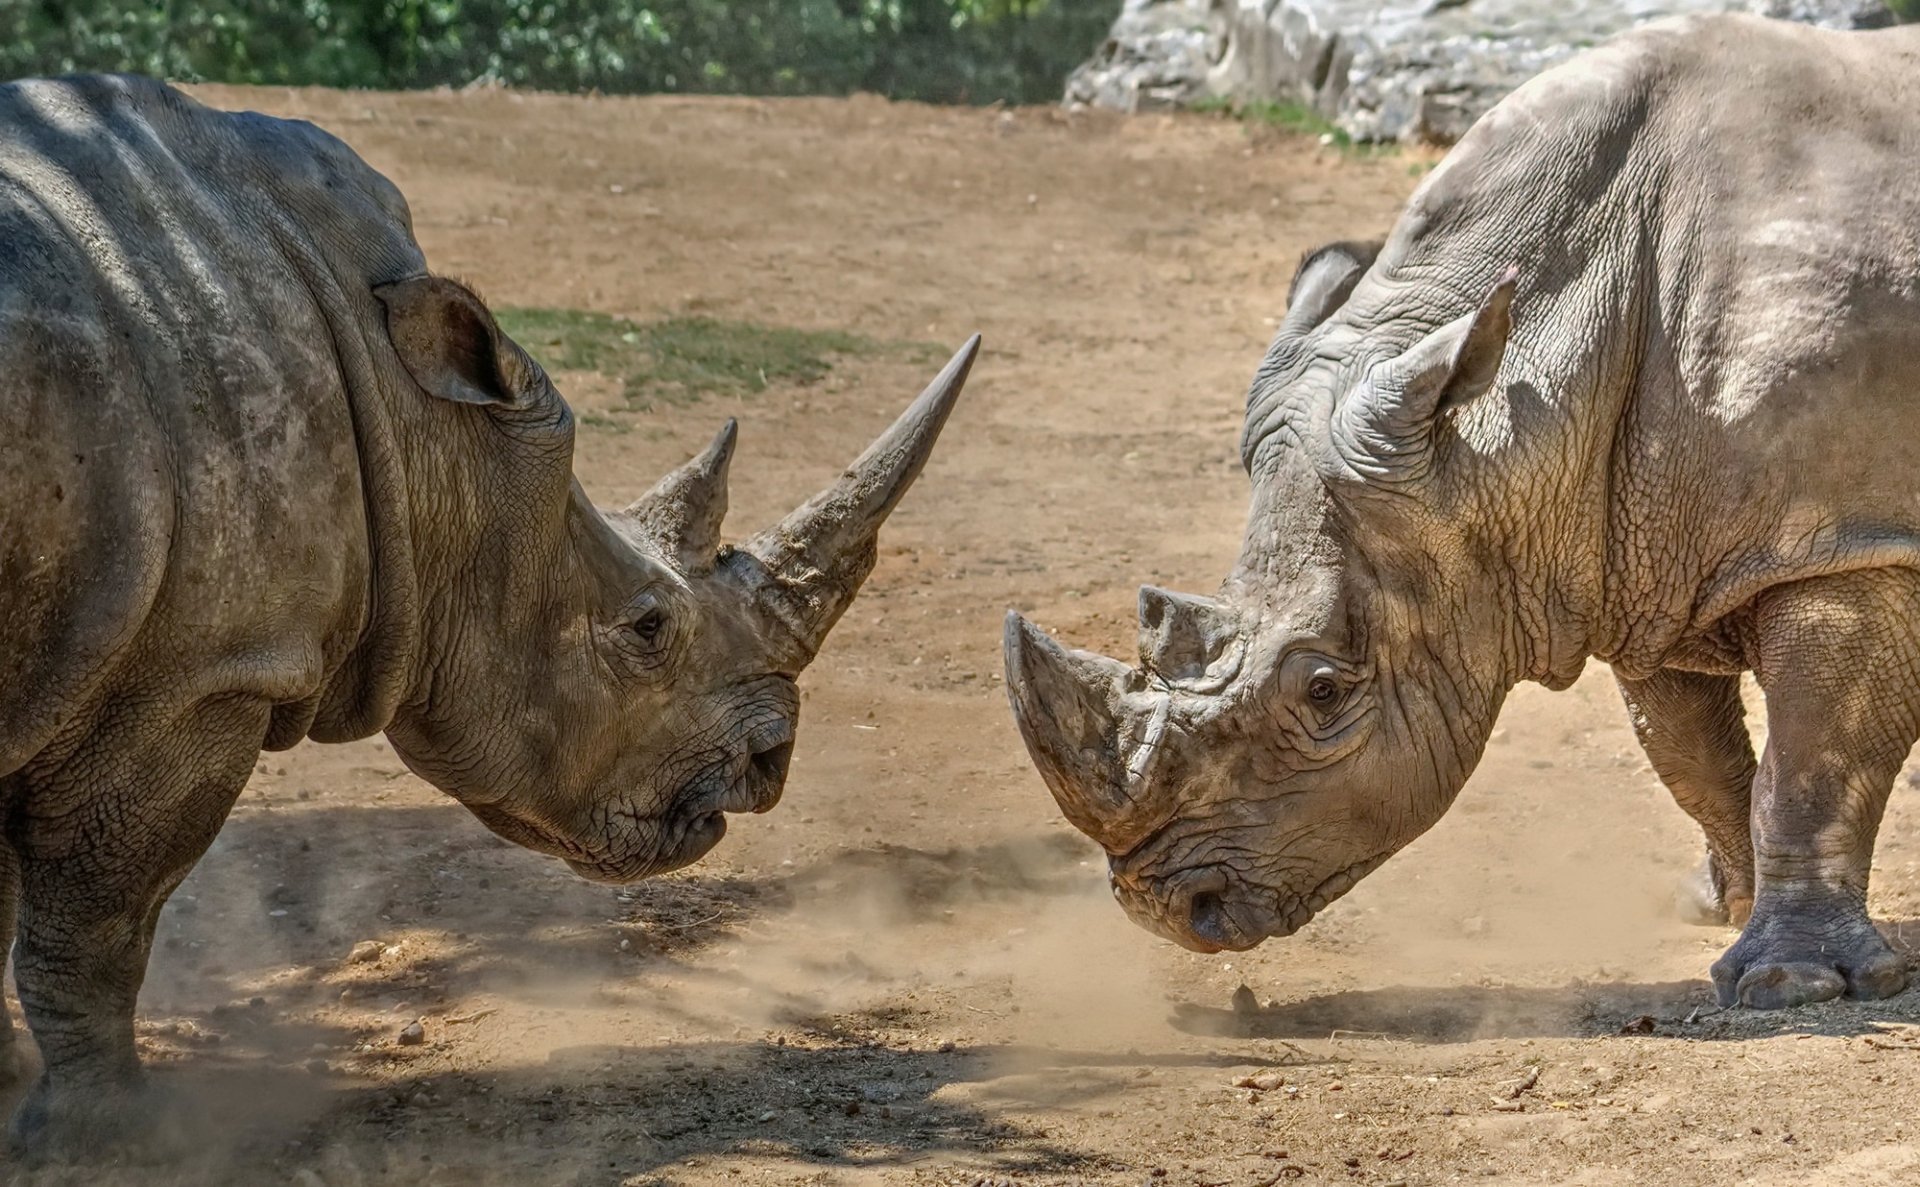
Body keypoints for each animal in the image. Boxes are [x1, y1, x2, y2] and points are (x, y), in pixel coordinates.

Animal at [0, 74, 977, 1156]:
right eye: (647, 628)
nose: (770, 765)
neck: (416, 423)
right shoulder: (200, 673)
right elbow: (97, 927)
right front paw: (107, 1140)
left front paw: (15, 1098)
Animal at [1006, 14, 1920, 1012]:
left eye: (1323, 690)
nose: (1166, 908)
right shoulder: (1647, 552)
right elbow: (1693, 755)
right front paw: (1723, 907)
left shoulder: (1845, 544)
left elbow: (1811, 765)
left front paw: (1790, 984)